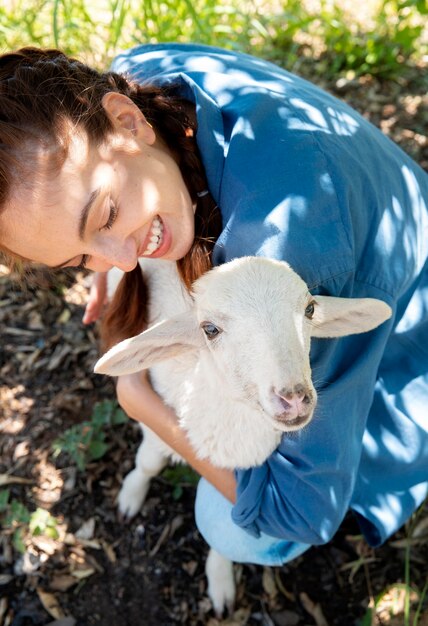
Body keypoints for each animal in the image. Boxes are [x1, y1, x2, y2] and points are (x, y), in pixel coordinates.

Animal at [93, 255, 392, 616]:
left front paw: (220, 581)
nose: (293, 397)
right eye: (209, 329)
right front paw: (130, 495)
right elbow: (149, 462)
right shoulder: (159, 418)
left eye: (309, 309)